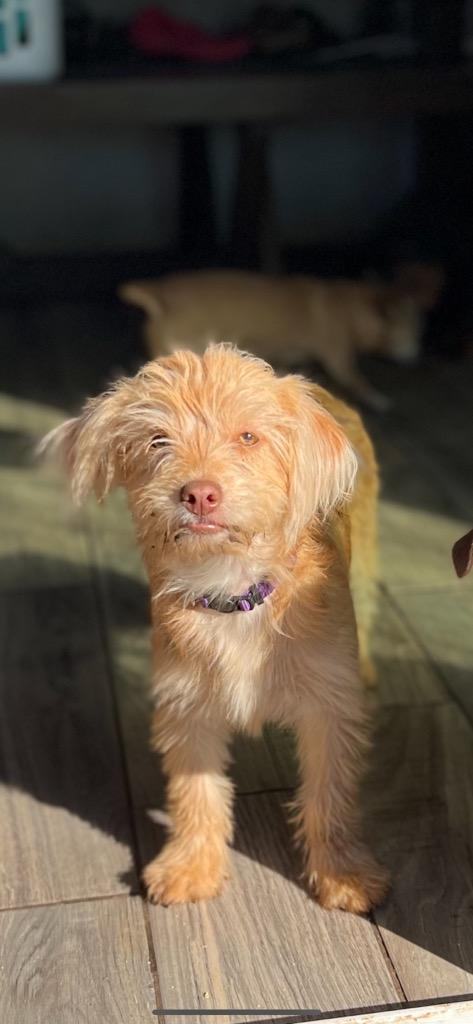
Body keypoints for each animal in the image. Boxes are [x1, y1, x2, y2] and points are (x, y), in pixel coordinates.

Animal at [119, 264, 444, 411]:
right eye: (414, 334)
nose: (418, 355)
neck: (354, 309)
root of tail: (160, 297)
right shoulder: (340, 360)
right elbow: (358, 381)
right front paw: (378, 399)